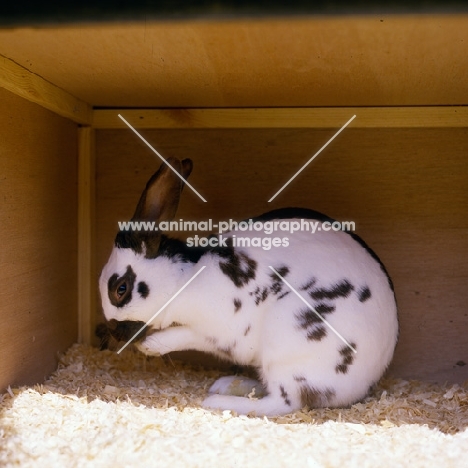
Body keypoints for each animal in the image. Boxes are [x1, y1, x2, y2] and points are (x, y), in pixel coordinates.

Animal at [98, 157, 398, 416]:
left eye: (120, 289)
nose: (114, 332)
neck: (183, 280)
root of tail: (367, 380)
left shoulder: (216, 331)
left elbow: (181, 336)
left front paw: (150, 345)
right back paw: (228, 384)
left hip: (288, 348)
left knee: (285, 402)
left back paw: (217, 401)